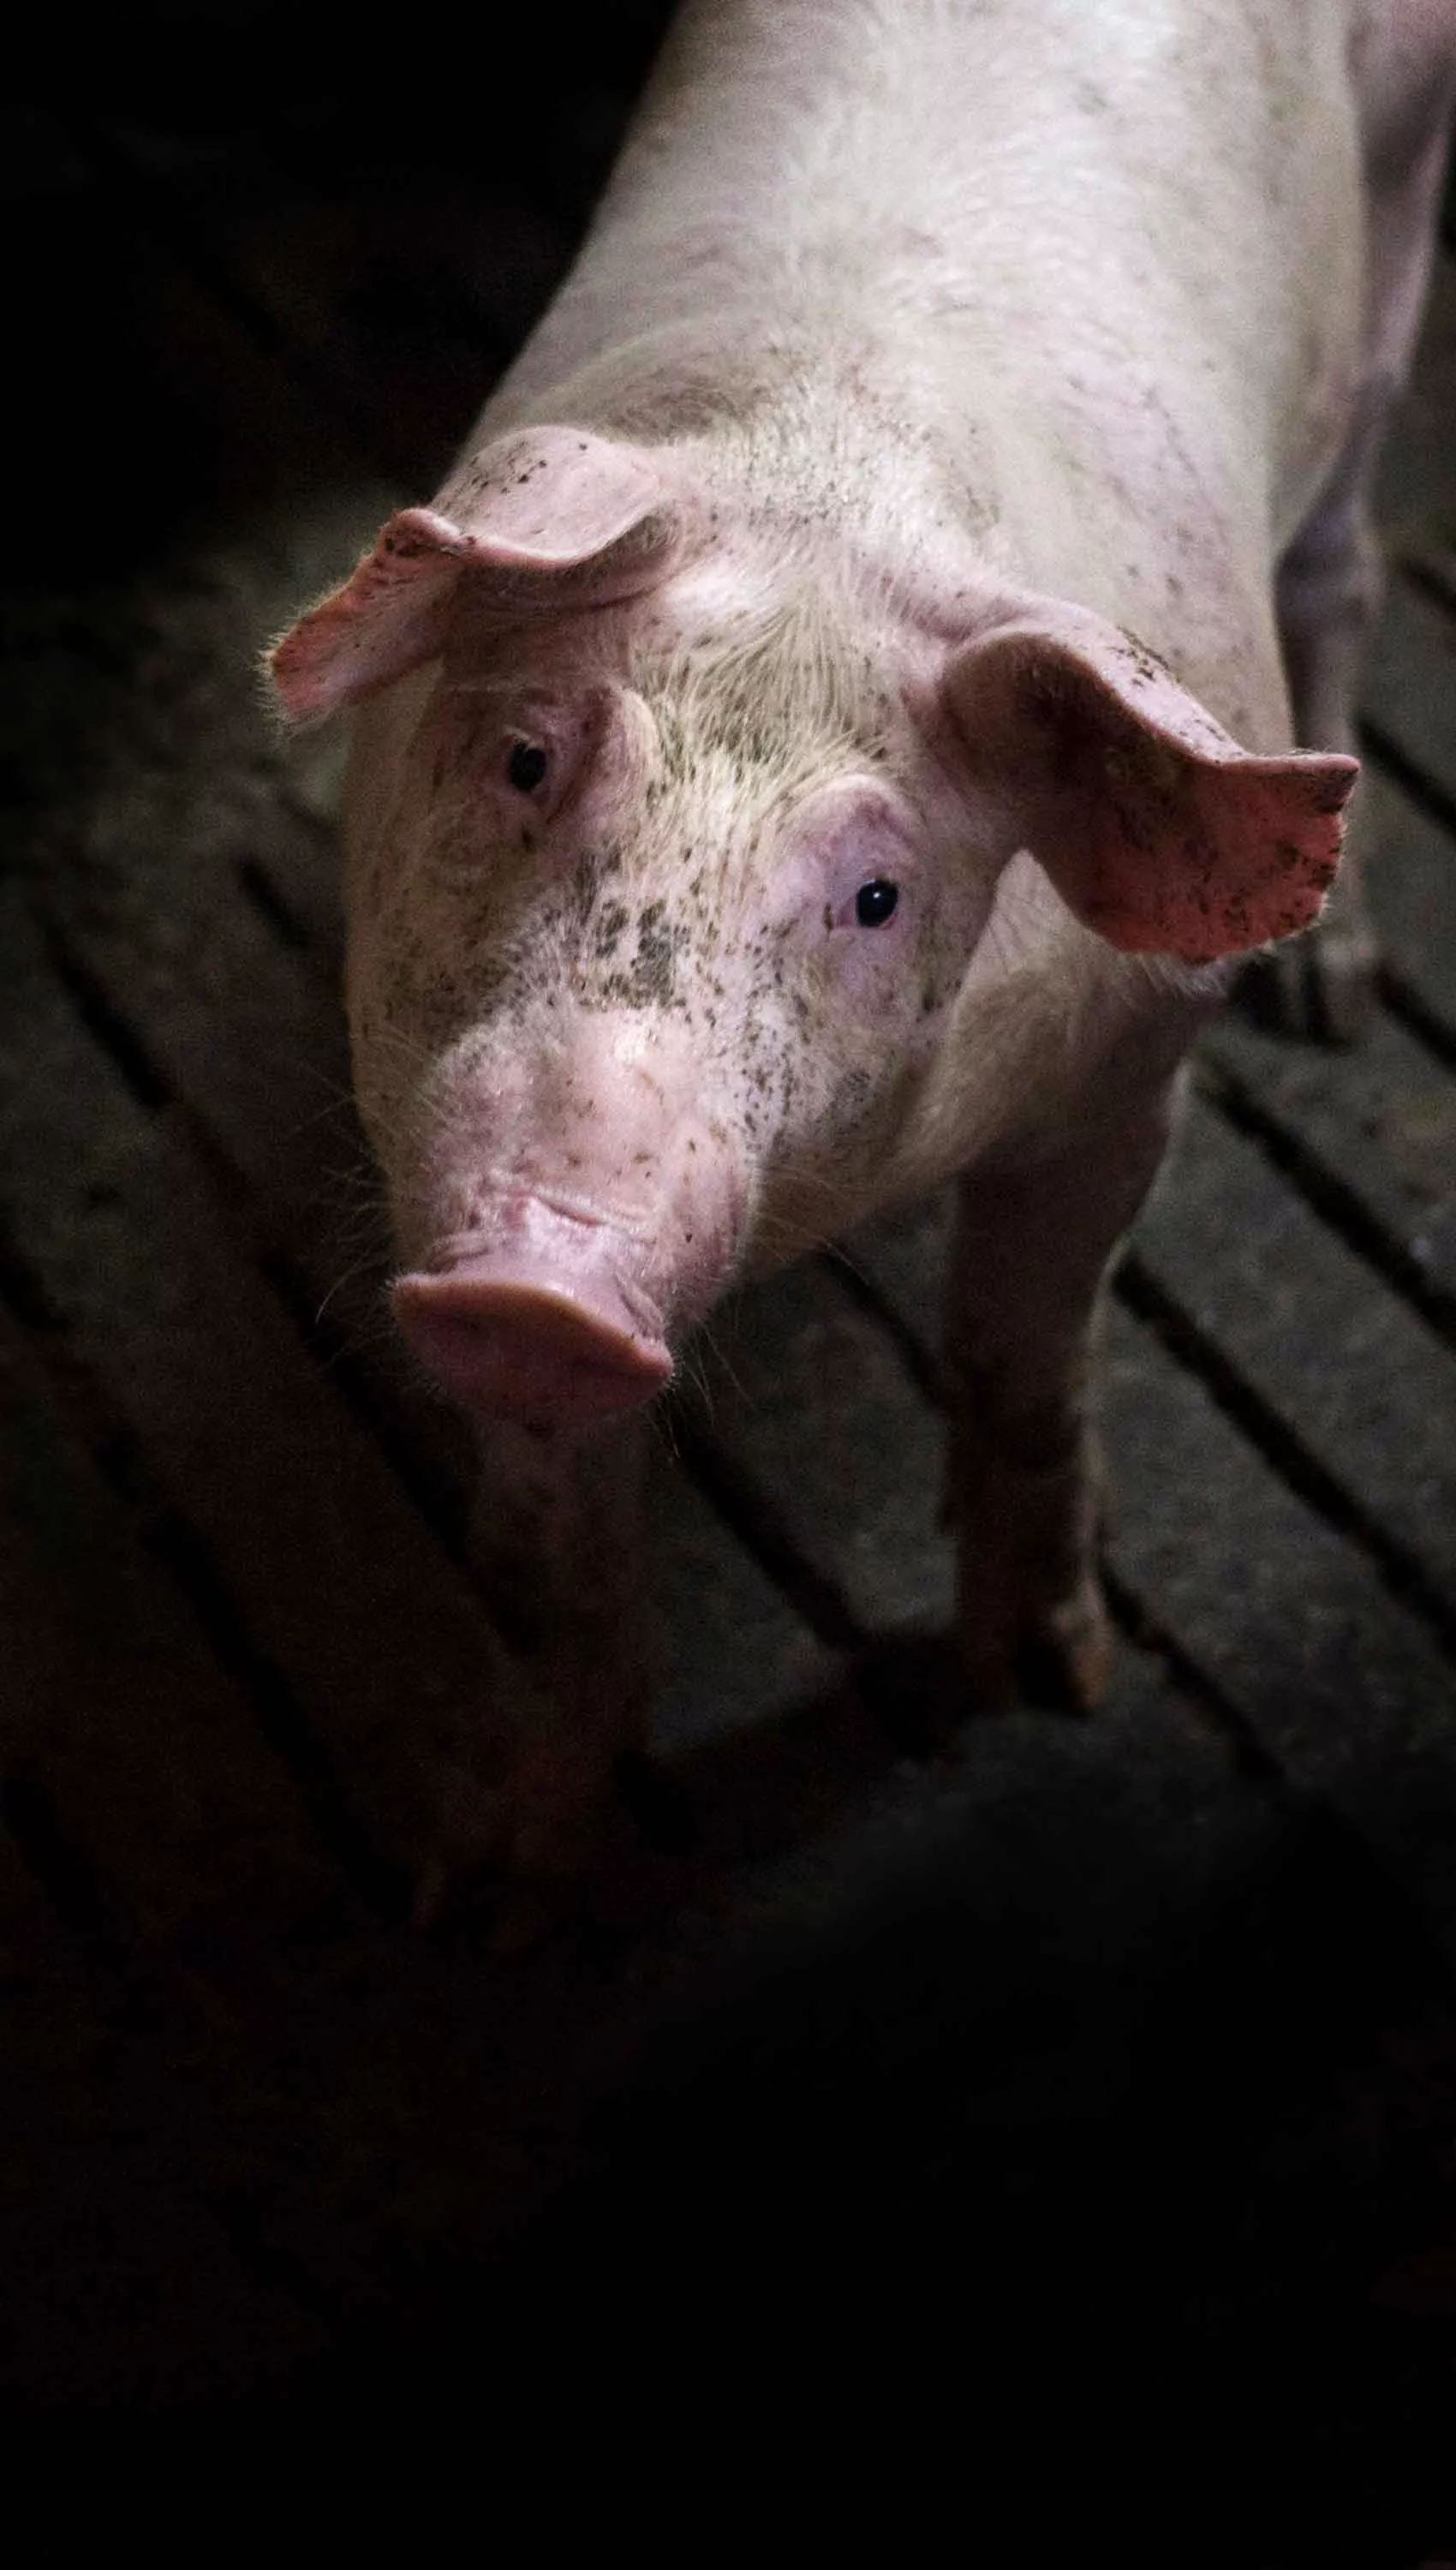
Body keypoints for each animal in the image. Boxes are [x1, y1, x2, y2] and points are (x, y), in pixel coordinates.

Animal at [270, 0, 1456, 1919]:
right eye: (524, 758)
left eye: (880, 895)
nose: (541, 1277)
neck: (830, 470)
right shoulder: (411, 1110)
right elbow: (541, 1555)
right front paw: (491, 1890)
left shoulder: (1129, 1072)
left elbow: (1023, 1364)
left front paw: (1046, 1681)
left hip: (1405, 200)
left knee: (1346, 551)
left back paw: (1331, 990)